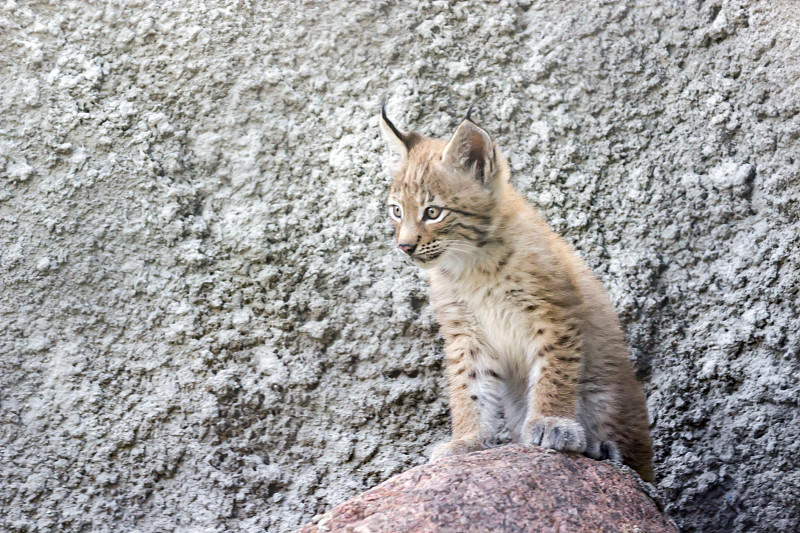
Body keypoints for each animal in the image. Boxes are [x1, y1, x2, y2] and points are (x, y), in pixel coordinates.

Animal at [380, 105, 648, 482]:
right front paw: (467, 440)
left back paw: (600, 448)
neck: (472, 262)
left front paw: (551, 422)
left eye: (433, 212)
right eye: (396, 211)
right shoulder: (465, 332)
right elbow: (468, 388)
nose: (404, 246)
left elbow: (553, 372)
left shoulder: (553, 314)